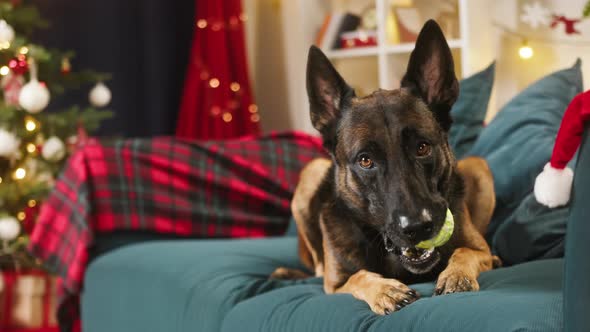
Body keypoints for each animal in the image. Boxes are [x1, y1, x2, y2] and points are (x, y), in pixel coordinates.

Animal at [272, 20, 500, 314]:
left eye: (422, 147)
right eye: (365, 160)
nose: (417, 228)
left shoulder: (478, 248)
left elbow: (465, 252)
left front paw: (456, 275)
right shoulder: (335, 285)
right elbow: (358, 276)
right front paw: (385, 290)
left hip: (478, 167)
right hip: (310, 175)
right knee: (318, 268)